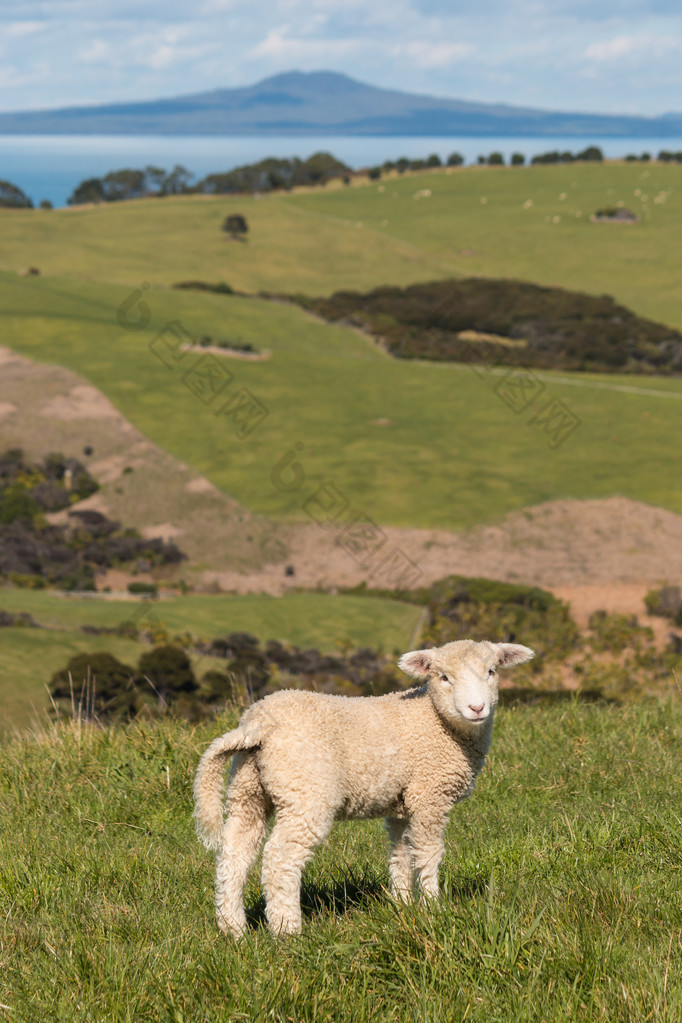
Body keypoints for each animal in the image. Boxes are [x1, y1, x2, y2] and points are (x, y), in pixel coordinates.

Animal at [192, 638, 531, 937]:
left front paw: (402, 905)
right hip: (306, 791)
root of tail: (257, 724)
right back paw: (287, 931)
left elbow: (400, 854)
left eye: (492, 671)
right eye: (443, 677)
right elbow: (428, 853)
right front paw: (433, 908)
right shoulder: (429, 794)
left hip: (248, 789)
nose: (477, 708)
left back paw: (234, 930)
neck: (436, 721)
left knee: (234, 854)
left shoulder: (402, 802)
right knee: (279, 860)